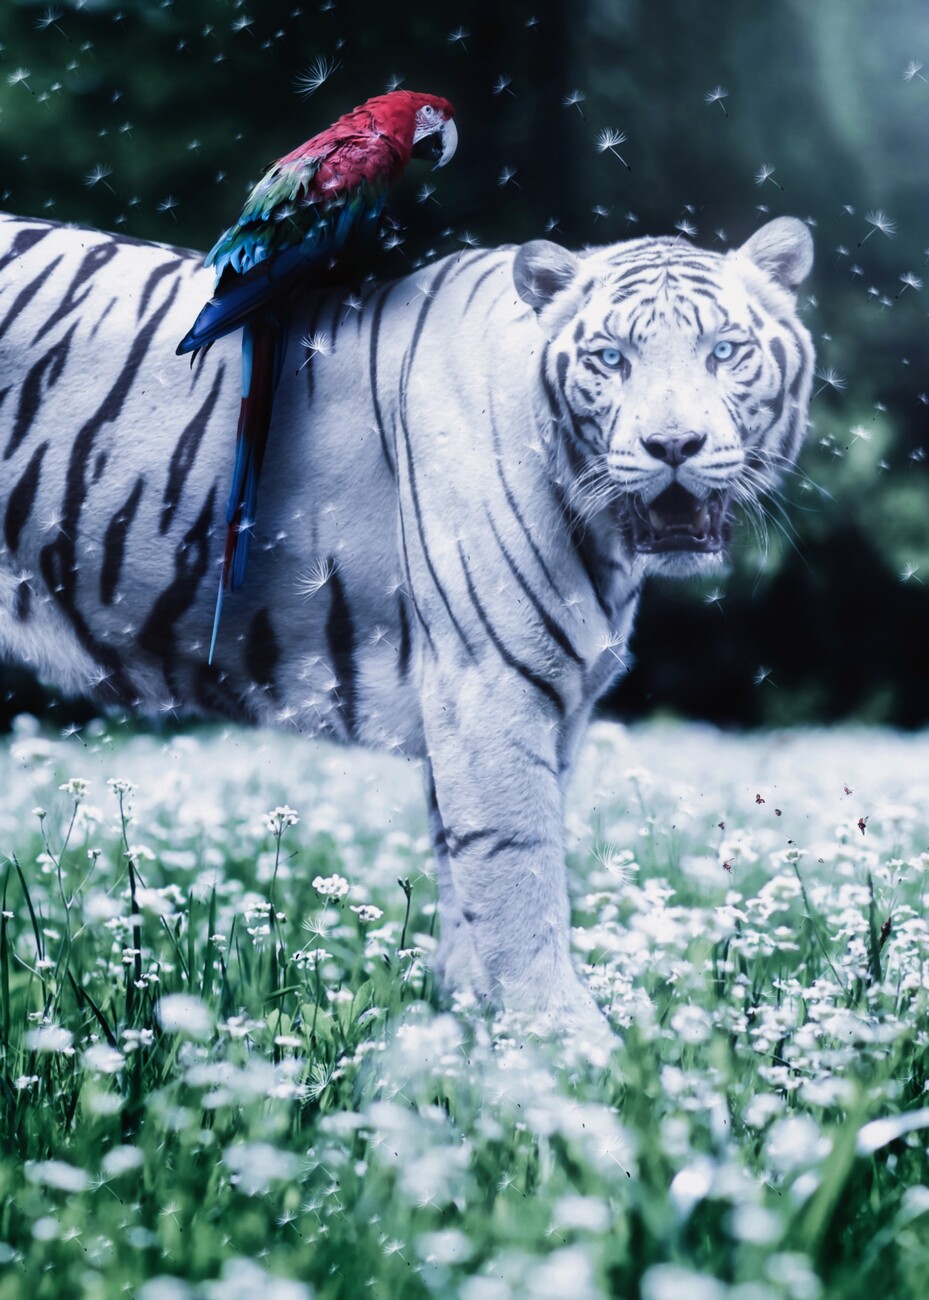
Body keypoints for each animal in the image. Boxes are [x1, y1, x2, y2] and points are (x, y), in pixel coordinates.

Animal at [0, 211, 814, 1039]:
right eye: (610, 359)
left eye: (723, 351)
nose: (672, 447)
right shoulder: (491, 688)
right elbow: (519, 873)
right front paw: (570, 1047)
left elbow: (467, 883)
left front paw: (469, 1033)